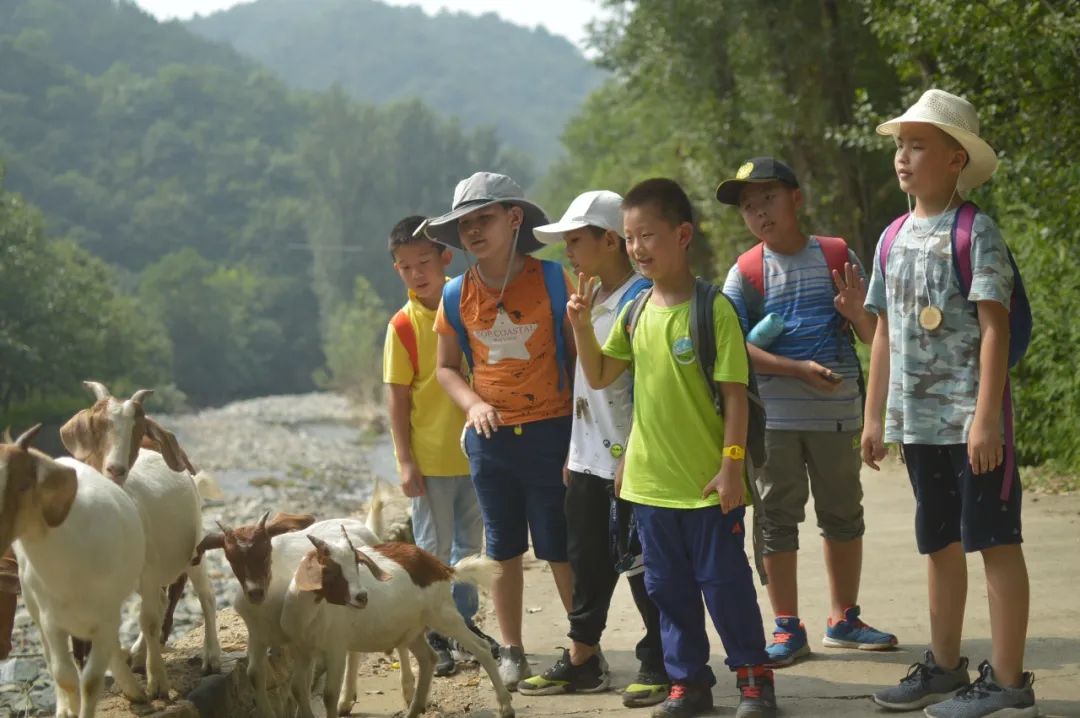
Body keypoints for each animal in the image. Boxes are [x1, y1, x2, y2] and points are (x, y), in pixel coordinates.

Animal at [2, 423, 147, 712]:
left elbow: (91, 680)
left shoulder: (106, 617)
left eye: (23, 486)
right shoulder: (51, 620)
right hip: (33, 604)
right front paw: (69, 708)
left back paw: (134, 690)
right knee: (50, 659)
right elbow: (64, 676)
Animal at [278, 531, 514, 716]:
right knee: (429, 658)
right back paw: (414, 709)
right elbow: (297, 689)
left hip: (443, 614)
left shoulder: (336, 647)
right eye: (328, 569)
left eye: (356, 564)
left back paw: (505, 707)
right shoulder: (301, 649)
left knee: (480, 647)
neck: (311, 614)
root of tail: (439, 566)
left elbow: (329, 695)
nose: (362, 597)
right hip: (413, 629)